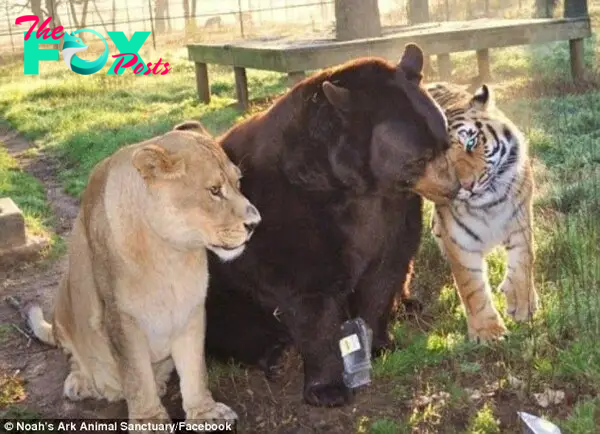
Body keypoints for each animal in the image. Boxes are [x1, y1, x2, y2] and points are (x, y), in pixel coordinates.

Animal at [25, 120, 260, 432]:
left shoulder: (191, 308)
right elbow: (136, 375)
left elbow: (195, 368)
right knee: (75, 355)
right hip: (64, 298)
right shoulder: (121, 316)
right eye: (213, 190)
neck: (171, 253)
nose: (255, 223)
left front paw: (205, 412)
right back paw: (81, 383)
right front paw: (149, 420)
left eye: (238, 183)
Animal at [426, 81, 540, 342]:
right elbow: (472, 288)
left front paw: (522, 305)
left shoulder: (520, 220)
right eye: (441, 161)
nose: (466, 185)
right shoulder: (460, 243)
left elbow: (523, 262)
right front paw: (488, 332)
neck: (489, 205)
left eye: (470, 143)